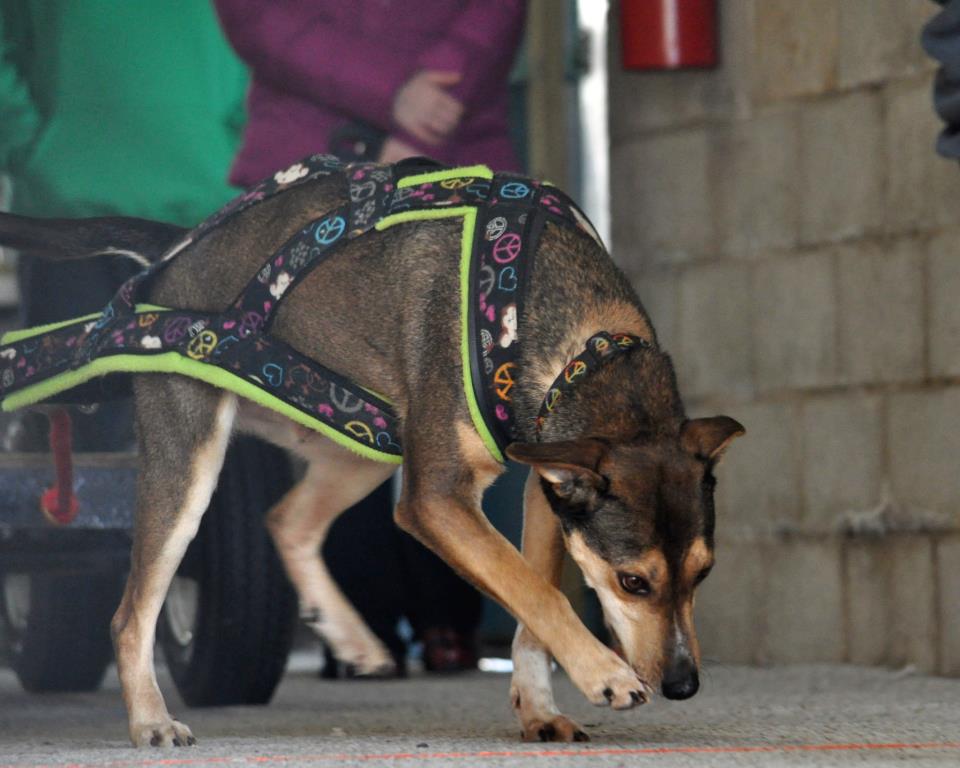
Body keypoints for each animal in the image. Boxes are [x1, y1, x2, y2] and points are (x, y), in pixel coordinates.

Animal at [0, 159, 744, 748]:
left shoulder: (545, 483)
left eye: (704, 574)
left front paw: (538, 709)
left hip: (360, 437)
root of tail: (177, 254)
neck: (585, 346)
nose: (684, 686)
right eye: (634, 582)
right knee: (132, 614)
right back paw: (151, 720)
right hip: (192, 461)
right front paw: (604, 674)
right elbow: (535, 591)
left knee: (287, 519)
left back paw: (350, 636)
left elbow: (534, 602)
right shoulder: (437, 498)